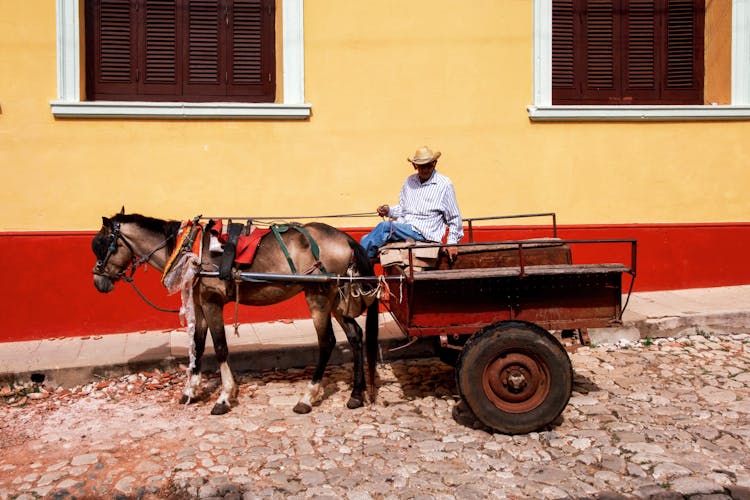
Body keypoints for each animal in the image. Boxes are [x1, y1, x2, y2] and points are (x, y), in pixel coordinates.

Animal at [90, 210, 378, 414]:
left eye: (103, 245)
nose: (98, 282)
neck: (189, 249)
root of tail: (345, 237)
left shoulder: (211, 301)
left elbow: (219, 347)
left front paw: (224, 397)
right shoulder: (199, 303)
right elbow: (198, 344)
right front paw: (192, 391)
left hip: (318, 295)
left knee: (327, 341)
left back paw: (308, 396)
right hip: (337, 296)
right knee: (355, 335)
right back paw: (355, 395)